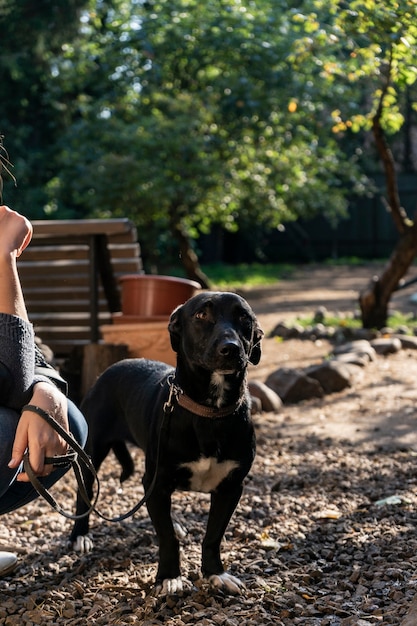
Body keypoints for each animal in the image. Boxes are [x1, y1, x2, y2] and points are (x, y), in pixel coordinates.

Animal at [69, 290, 262, 592]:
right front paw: (170, 577)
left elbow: (213, 535)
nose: (230, 348)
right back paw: (80, 535)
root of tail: (112, 368)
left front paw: (215, 573)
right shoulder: (156, 483)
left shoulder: (230, 488)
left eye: (244, 317)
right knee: (84, 493)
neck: (209, 410)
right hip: (92, 452)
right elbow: (167, 538)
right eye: (201, 314)